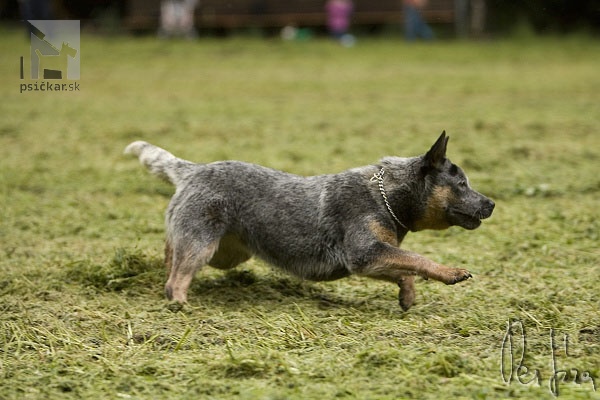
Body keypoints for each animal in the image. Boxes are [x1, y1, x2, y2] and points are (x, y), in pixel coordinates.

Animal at [124, 133, 494, 310]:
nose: (491, 203)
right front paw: (451, 273)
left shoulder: (368, 260)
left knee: (171, 257)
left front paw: (407, 296)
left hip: (225, 253)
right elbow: (417, 259)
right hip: (204, 244)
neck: (387, 195)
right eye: (462, 184)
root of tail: (193, 169)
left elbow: (405, 270)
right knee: (176, 279)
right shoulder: (364, 253)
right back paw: (181, 306)